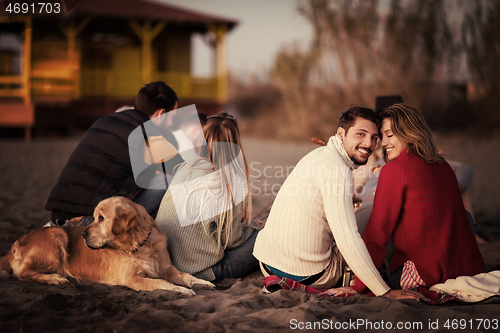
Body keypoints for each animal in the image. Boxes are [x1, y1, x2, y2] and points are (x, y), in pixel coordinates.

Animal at [0, 196, 215, 294]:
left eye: (101, 218)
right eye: (94, 218)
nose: (83, 234)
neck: (141, 245)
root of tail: (18, 242)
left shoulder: (166, 267)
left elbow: (184, 275)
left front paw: (200, 282)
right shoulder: (133, 279)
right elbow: (162, 283)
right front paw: (181, 290)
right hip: (57, 236)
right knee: (22, 274)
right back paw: (54, 278)